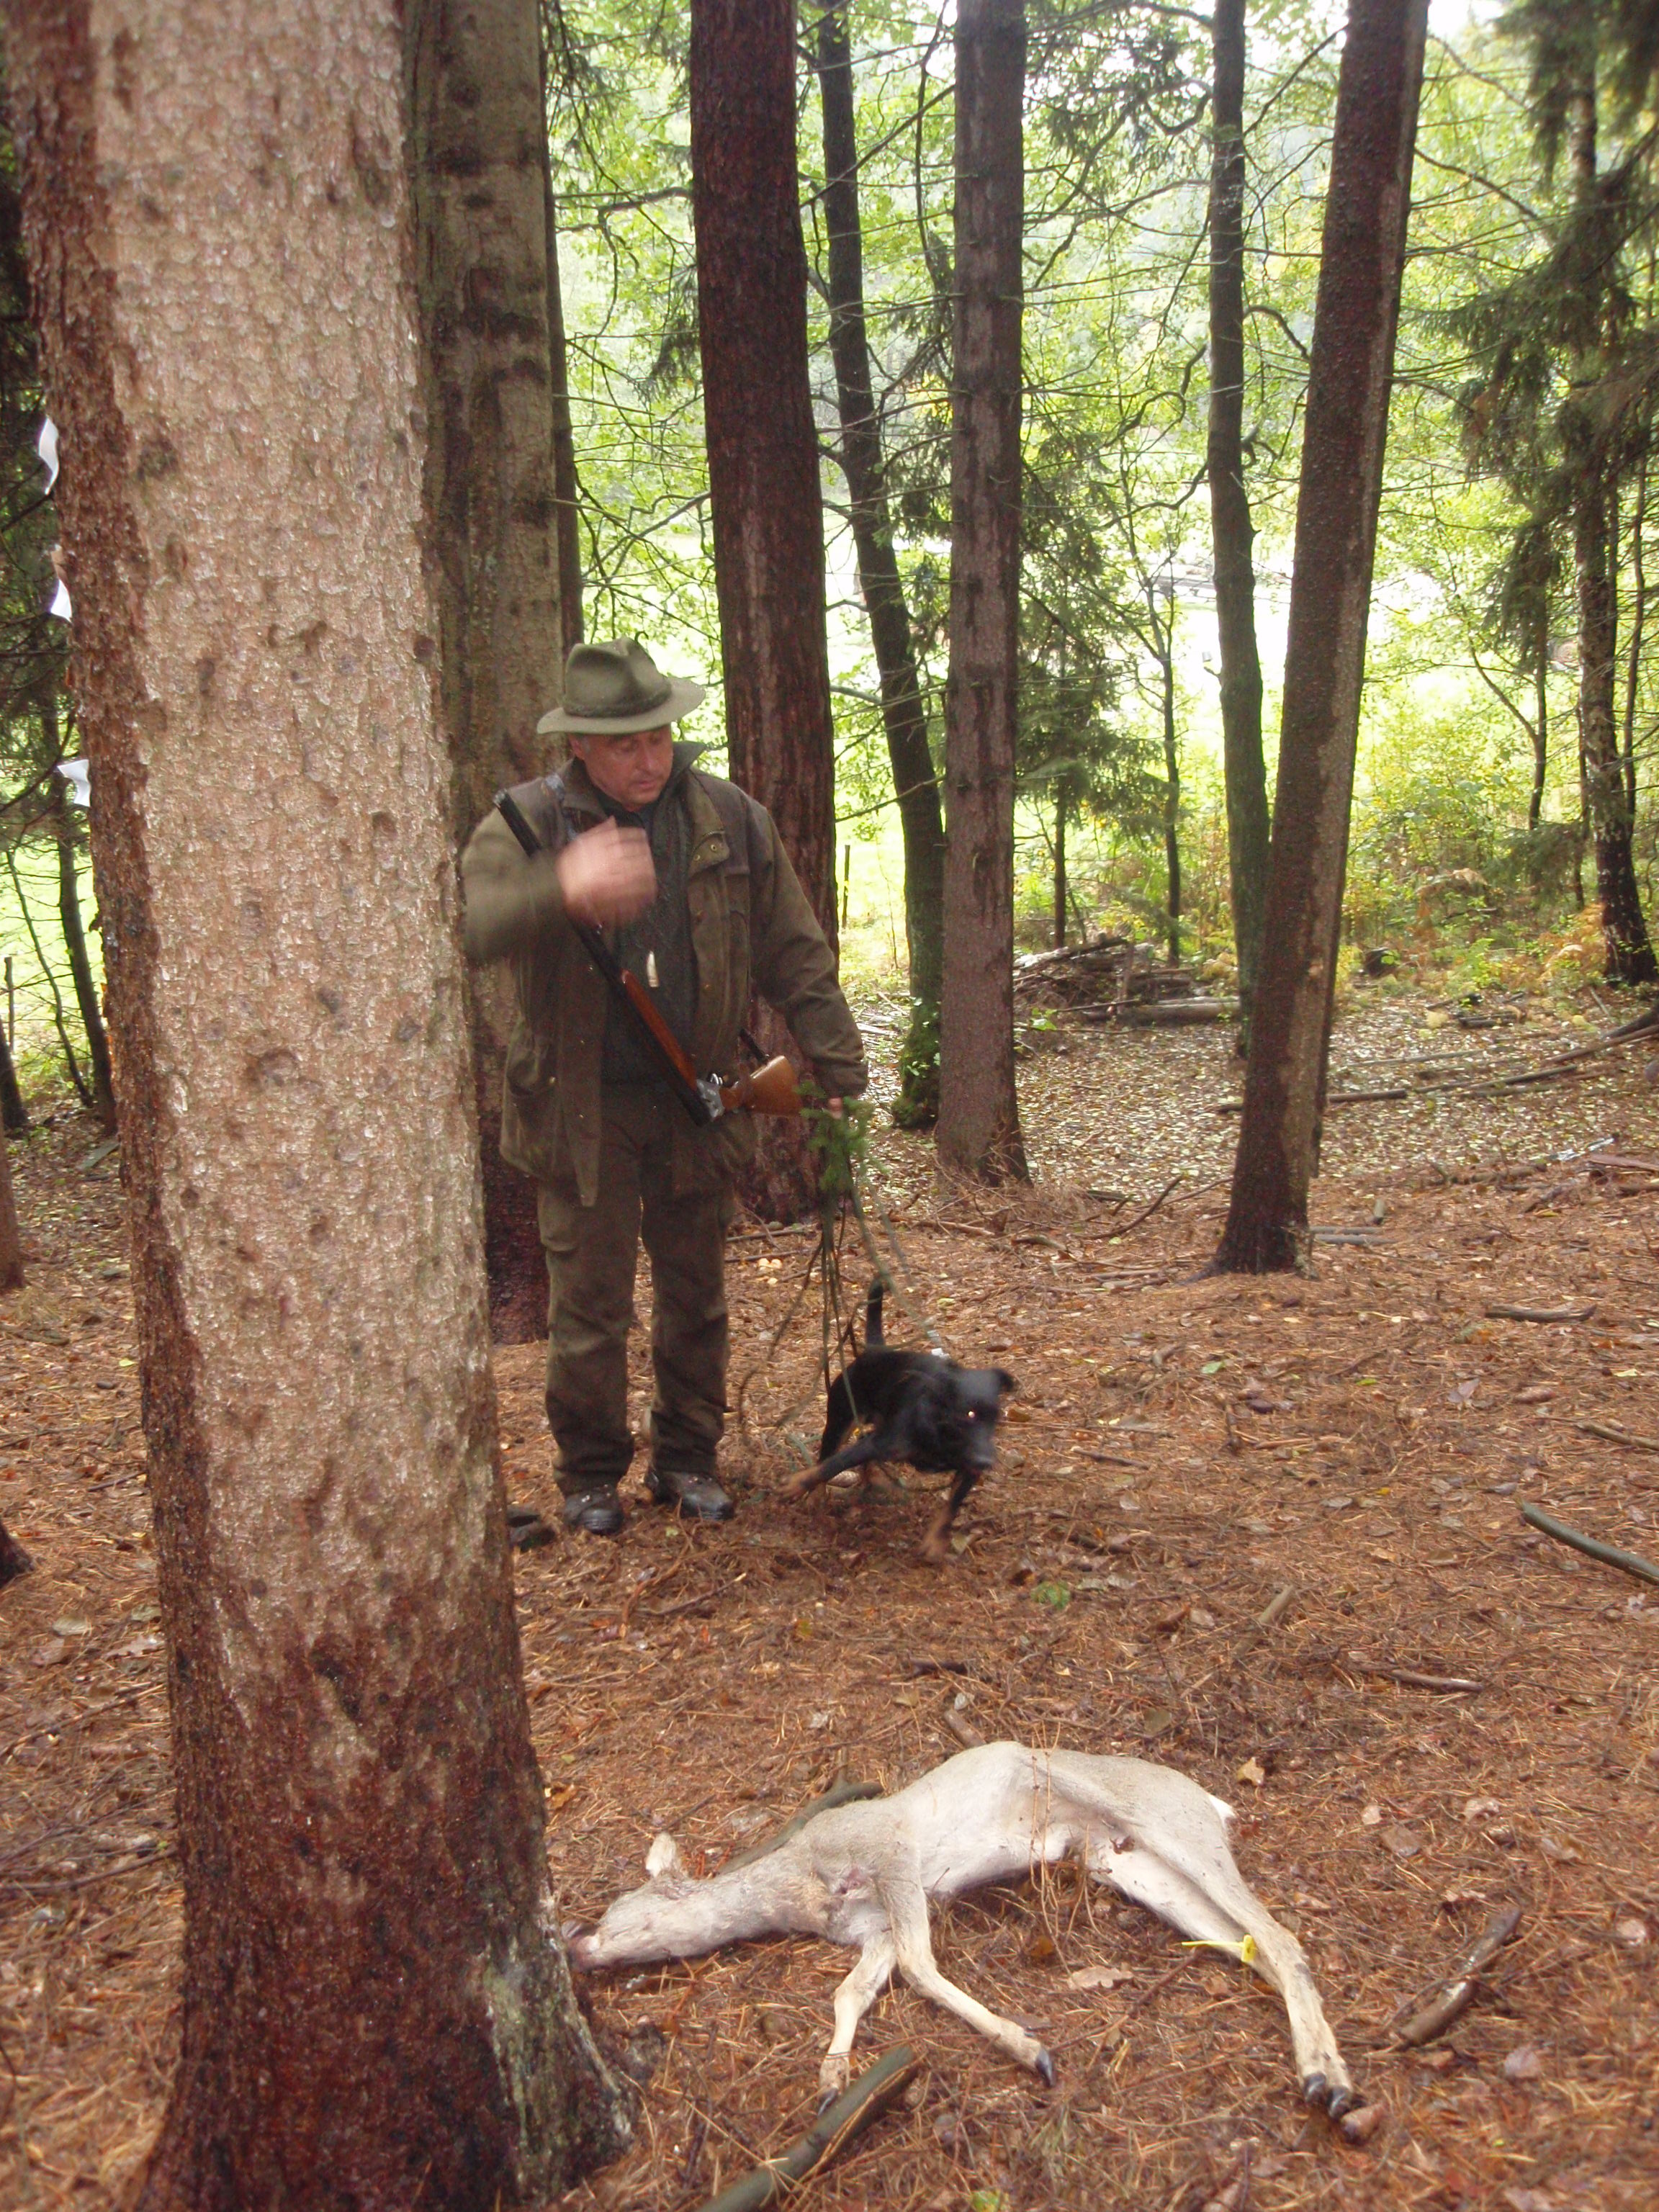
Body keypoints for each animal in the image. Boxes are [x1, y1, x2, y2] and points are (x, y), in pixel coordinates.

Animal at [787, 1292, 1022, 1565]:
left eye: (997, 1417)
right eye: (969, 1414)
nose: (987, 1461)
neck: (942, 1434)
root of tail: (876, 1351)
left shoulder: (968, 1469)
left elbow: (951, 1507)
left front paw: (935, 1542)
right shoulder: (882, 1442)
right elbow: (831, 1465)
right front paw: (797, 1484)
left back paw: (874, 1480)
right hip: (841, 1420)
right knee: (827, 1454)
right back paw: (817, 1496)